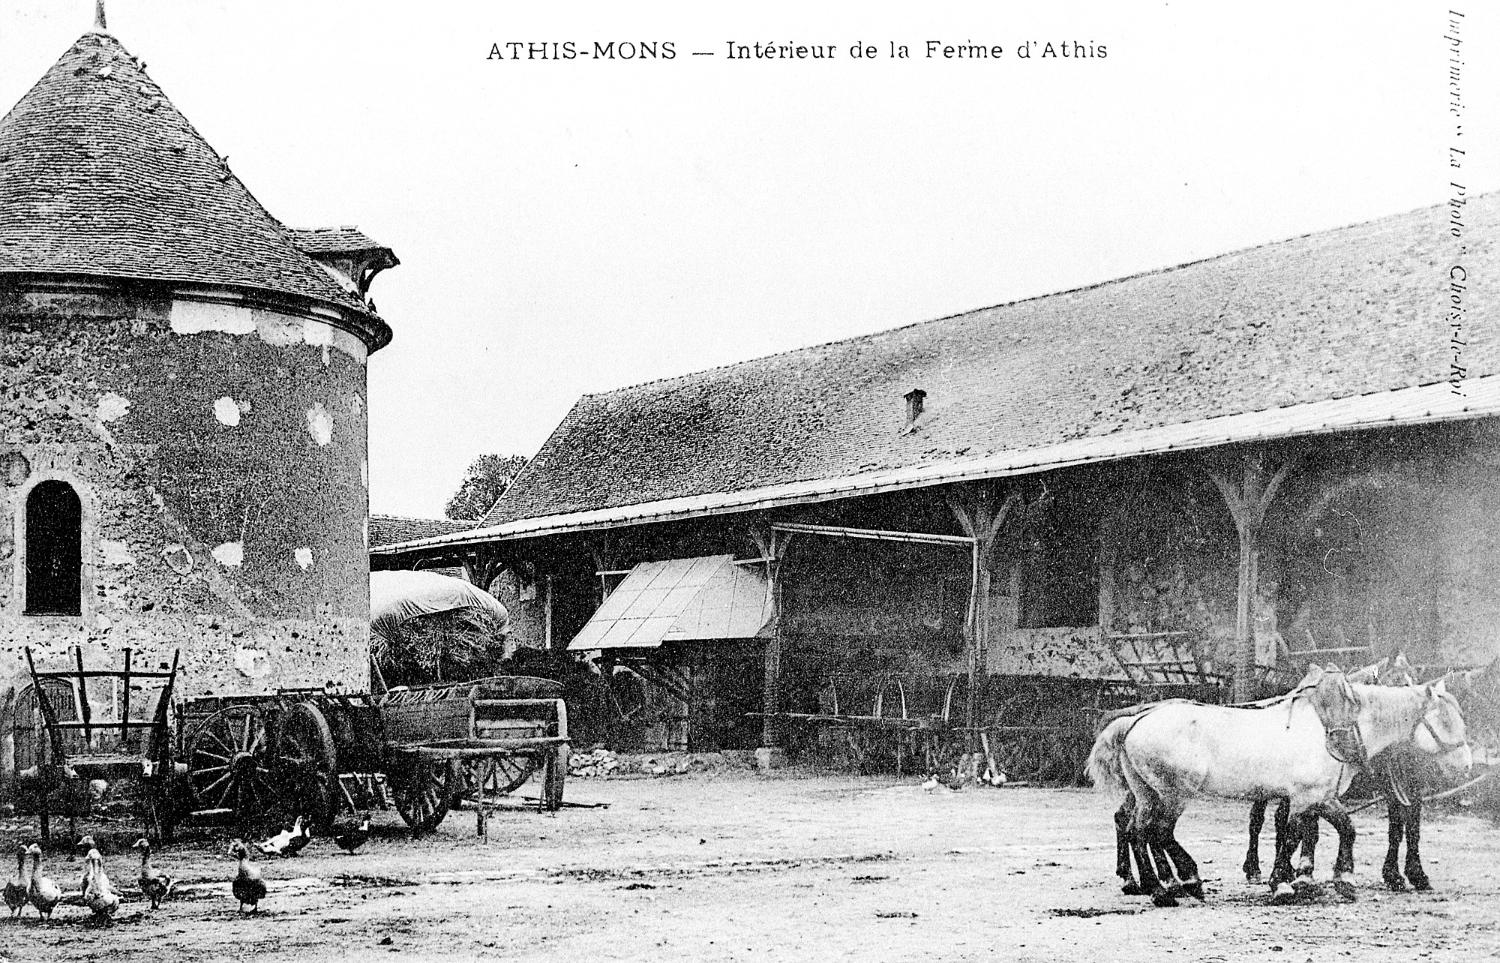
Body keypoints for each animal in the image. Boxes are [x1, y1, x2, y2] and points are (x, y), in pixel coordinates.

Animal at [1086, 672, 1470, 906]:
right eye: (1444, 718)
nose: (1468, 764)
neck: (1334, 726)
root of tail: (1134, 720)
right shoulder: (1303, 796)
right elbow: (1293, 834)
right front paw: (1285, 882)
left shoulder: (1320, 796)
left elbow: (1342, 829)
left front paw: (1339, 878)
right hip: (1172, 794)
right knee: (1158, 833)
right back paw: (1180, 883)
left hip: (1146, 793)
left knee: (1137, 831)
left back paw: (1158, 885)